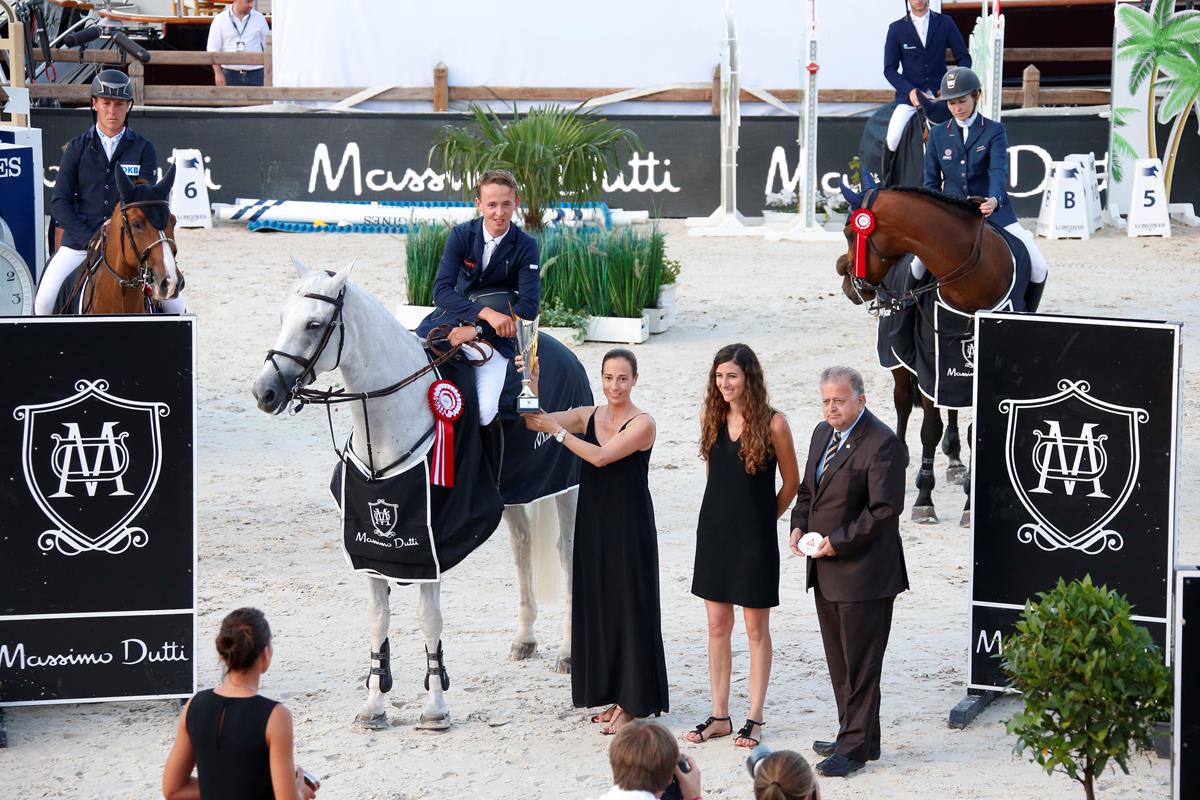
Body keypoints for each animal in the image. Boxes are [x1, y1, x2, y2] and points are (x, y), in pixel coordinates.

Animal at [253, 257, 590, 734]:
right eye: (283, 318)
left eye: (314, 324)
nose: (264, 392)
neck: (388, 428)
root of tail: (565, 354)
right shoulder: (371, 549)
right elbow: (378, 623)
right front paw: (373, 706)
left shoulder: (432, 545)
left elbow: (430, 622)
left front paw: (435, 709)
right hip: (512, 495)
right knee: (523, 548)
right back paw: (524, 640)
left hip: (567, 487)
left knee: (566, 553)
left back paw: (566, 653)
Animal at [835, 175, 1032, 525]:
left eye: (848, 232)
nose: (848, 283)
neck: (975, 281)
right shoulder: (930, 363)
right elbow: (929, 428)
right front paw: (924, 499)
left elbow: (972, 428)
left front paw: (970, 501)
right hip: (897, 358)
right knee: (902, 403)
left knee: (950, 407)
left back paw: (955, 461)